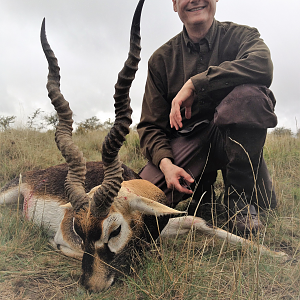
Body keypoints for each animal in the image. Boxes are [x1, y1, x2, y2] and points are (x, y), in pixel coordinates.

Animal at [0, 0, 286, 292]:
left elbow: (197, 221)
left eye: (114, 230)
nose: (91, 287)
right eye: (78, 231)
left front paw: (276, 254)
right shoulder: (67, 235)